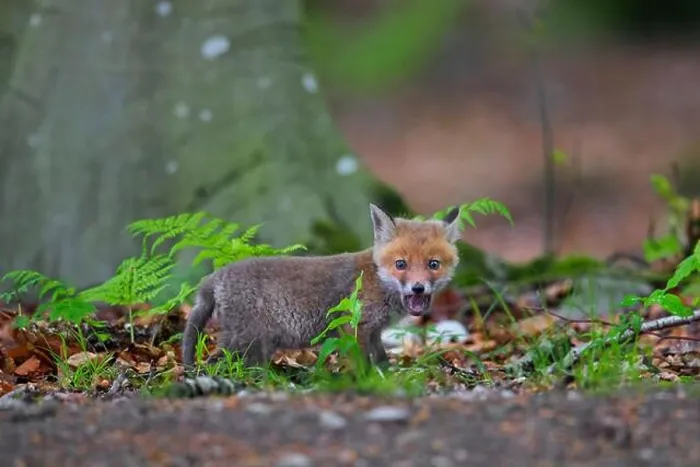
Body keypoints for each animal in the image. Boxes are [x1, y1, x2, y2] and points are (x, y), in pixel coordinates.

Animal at [181, 203, 463, 371]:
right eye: (400, 264)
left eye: (433, 264)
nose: (418, 288)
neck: (377, 279)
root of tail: (214, 276)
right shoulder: (354, 325)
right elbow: (361, 361)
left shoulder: (373, 331)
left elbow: (381, 359)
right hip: (245, 340)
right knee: (217, 361)